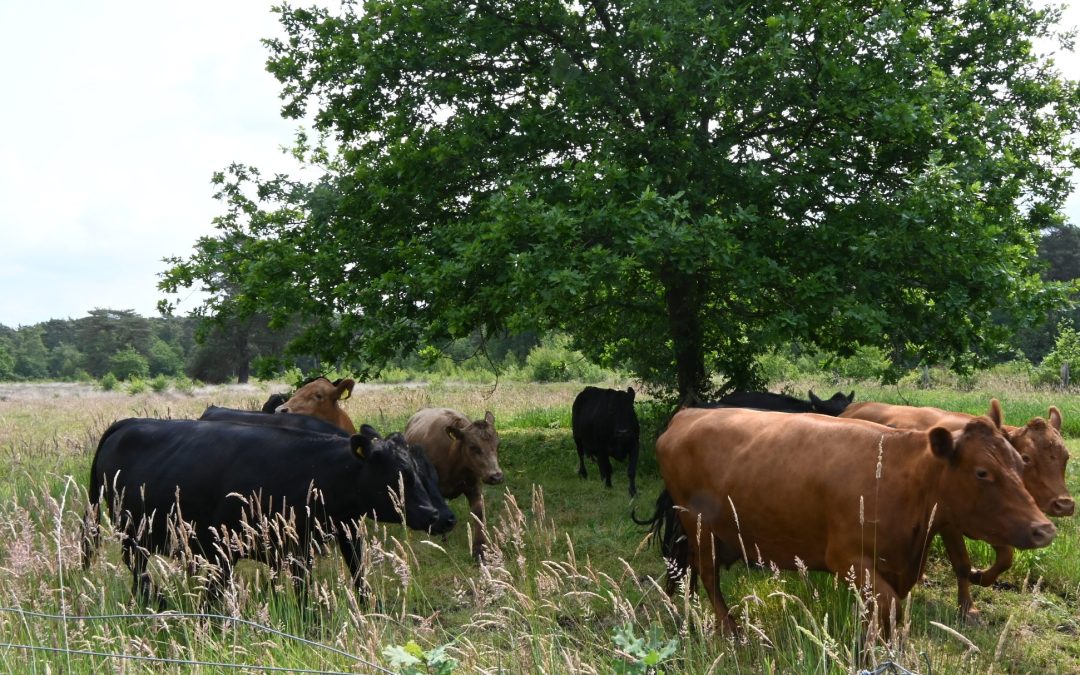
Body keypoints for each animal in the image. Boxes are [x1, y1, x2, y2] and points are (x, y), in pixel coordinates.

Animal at [81, 418, 454, 609]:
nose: (444, 516)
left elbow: (353, 574)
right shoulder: (226, 546)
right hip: (131, 531)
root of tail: (127, 423)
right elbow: (219, 595)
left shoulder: (326, 536)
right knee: (137, 568)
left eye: (431, 474)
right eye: (400, 475)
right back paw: (157, 601)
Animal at [403, 408, 503, 562]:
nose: (496, 476)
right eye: (473, 447)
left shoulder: (474, 486)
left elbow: (478, 514)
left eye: (498, 445)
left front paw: (479, 549)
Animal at [652, 407, 1054, 636]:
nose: (1044, 529)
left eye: (1020, 463)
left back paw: (685, 611)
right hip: (700, 527)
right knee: (707, 574)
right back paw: (728, 628)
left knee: (688, 569)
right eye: (982, 472)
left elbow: (881, 613)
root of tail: (687, 414)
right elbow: (888, 608)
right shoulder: (848, 559)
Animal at [840, 399, 1072, 618]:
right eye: (1026, 458)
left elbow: (1006, 557)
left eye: (1066, 456)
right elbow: (962, 563)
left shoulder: (996, 522)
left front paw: (980, 576)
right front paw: (968, 607)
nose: (1065, 504)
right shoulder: (950, 525)